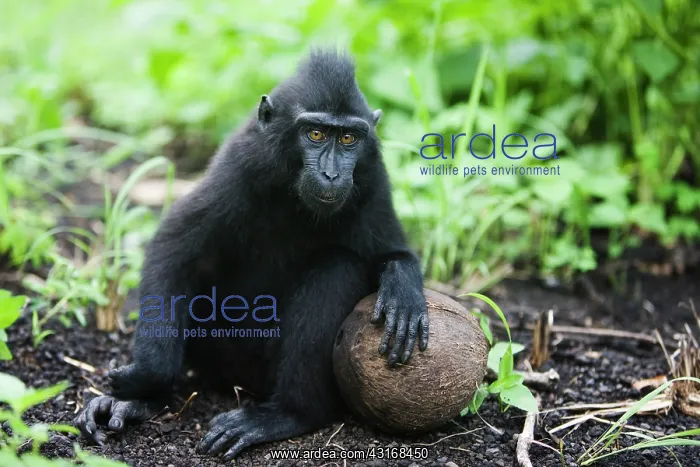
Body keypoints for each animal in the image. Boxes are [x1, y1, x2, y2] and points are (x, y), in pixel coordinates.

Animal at [74, 49, 430, 461]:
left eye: (348, 138)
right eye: (315, 134)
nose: (331, 174)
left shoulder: (373, 177)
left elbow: (392, 253)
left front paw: (403, 290)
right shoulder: (241, 165)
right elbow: (174, 249)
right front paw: (149, 377)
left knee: (337, 266)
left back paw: (287, 414)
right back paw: (140, 403)